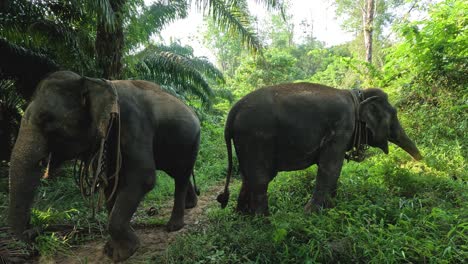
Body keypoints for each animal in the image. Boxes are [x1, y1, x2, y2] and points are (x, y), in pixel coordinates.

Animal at [8, 70, 200, 262]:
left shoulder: (133, 122)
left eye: (46, 119)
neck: (91, 81)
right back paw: (190, 205)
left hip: (191, 142)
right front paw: (112, 249)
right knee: (175, 171)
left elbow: (143, 177)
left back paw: (174, 226)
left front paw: (124, 253)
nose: (32, 238)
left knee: (181, 174)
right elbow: (109, 182)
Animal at [218, 82, 422, 214]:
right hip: (256, 137)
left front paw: (331, 207)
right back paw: (264, 222)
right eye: (394, 114)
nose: (422, 162)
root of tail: (233, 111)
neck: (357, 96)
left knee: (249, 178)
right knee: (261, 179)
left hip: (246, 141)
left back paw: (242, 217)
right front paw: (311, 214)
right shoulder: (342, 127)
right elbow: (331, 167)